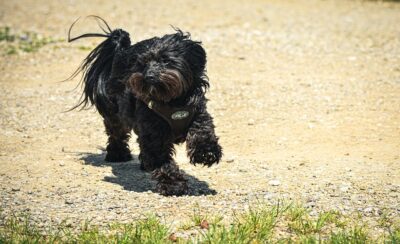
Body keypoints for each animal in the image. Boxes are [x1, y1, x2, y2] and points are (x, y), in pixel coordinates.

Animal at [70, 17, 223, 195]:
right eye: (142, 64)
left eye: (166, 60)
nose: (148, 76)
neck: (171, 101)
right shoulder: (153, 132)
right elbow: (162, 162)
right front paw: (173, 184)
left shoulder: (197, 112)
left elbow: (202, 129)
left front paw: (206, 152)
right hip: (116, 115)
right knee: (116, 133)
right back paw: (118, 155)